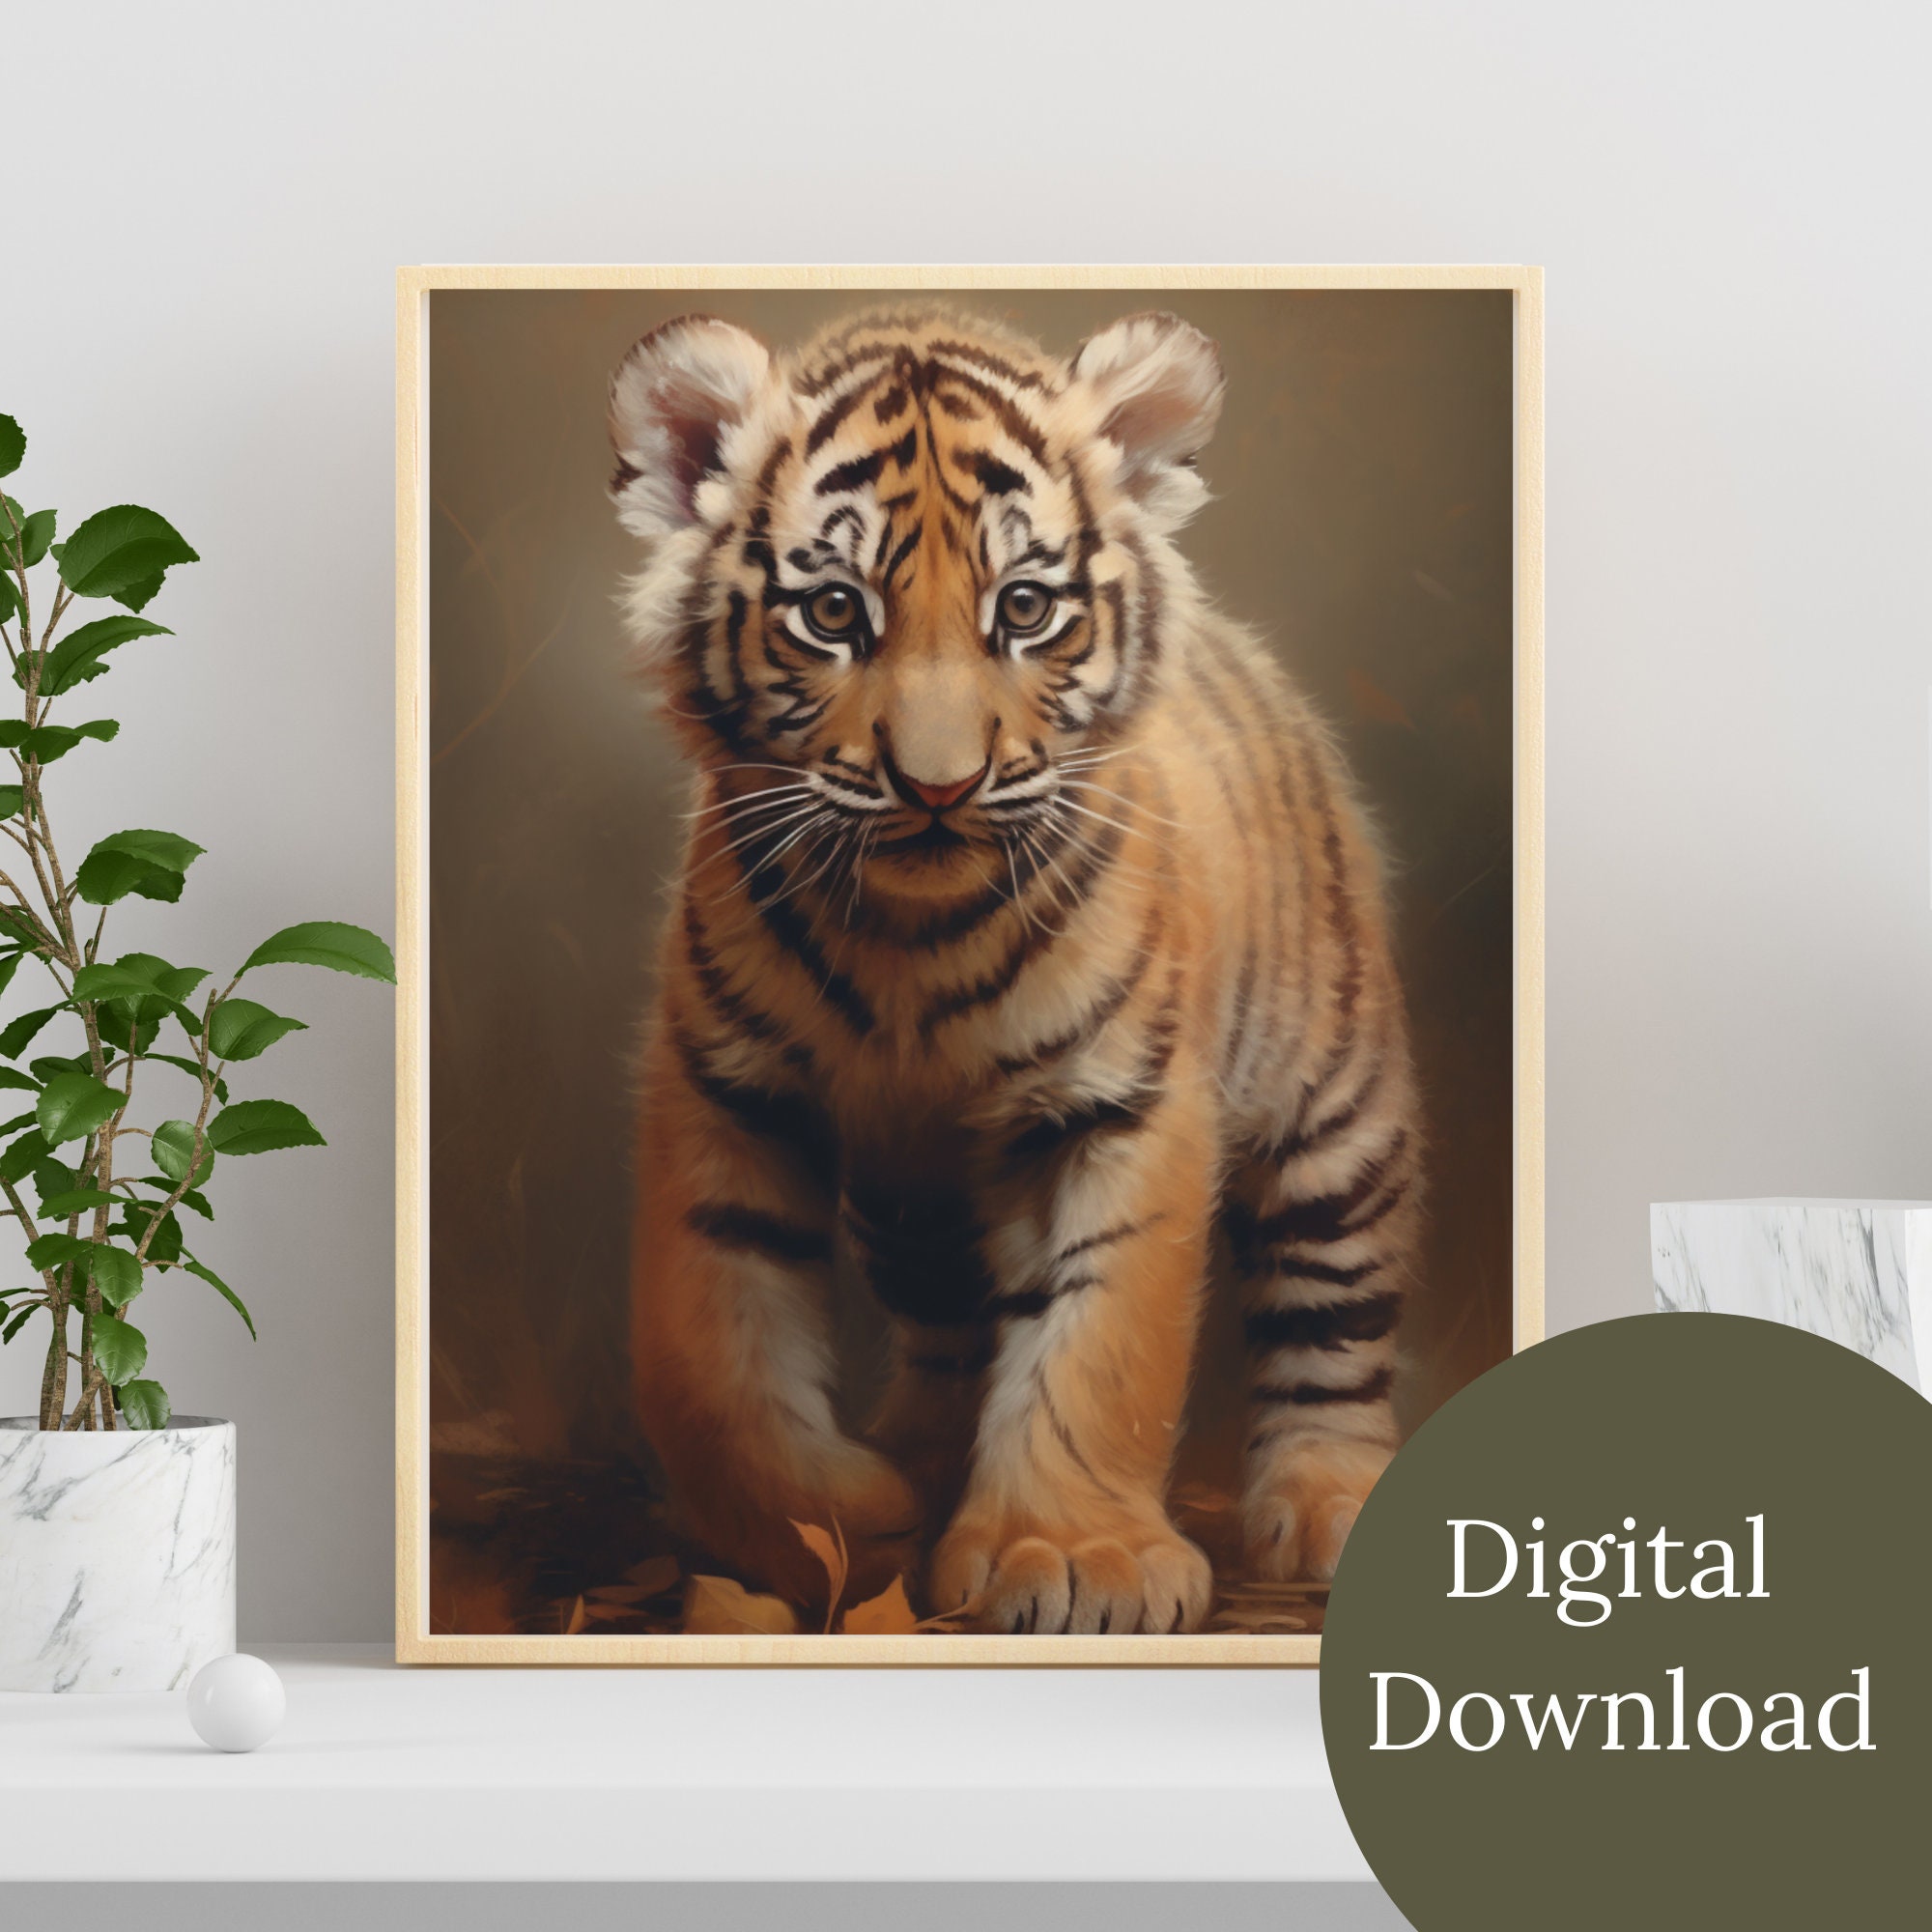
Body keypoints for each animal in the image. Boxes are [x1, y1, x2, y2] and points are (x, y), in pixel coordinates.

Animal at [606, 305, 1423, 1635]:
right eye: (832, 613)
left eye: (1026, 607)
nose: (938, 786)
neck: (905, 940)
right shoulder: (724, 1093)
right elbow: (703, 1356)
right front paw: (831, 1524)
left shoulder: (1120, 1103)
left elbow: (1103, 1341)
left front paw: (1075, 1557)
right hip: (907, 1205)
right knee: (949, 1330)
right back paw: (922, 1460)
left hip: (1336, 1118)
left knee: (1330, 1321)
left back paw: (1330, 1501)